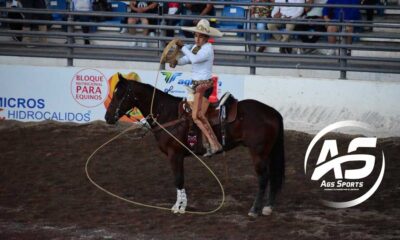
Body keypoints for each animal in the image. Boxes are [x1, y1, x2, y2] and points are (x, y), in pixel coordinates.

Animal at [103, 74, 284, 217]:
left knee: (263, 178)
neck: (168, 114)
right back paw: (268, 207)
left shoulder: (174, 154)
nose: (108, 117)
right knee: (272, 176)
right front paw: (180, 205)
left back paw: (254, 209)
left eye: (120, 94)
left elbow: (178, 179)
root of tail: (272, 112)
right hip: (268, 152)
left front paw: (179, 207)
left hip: (258, 152)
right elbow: (180, 180)